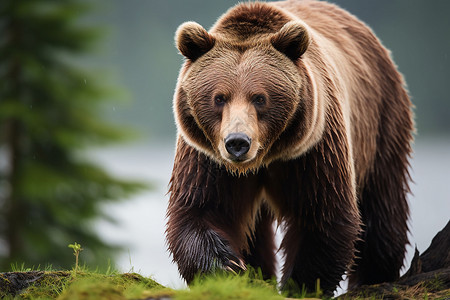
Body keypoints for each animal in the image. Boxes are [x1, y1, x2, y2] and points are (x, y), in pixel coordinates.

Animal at [166, 0, 414, 296]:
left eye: (260, 98)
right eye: (219, 97)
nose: (237, 142)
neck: (265, 158)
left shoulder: (313, 149)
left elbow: (321, 214)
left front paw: (300, 285)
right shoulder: (206, 155)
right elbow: (202, 209)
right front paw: (228, 267)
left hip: (380, 119)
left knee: (382, 202)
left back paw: (376, 274)